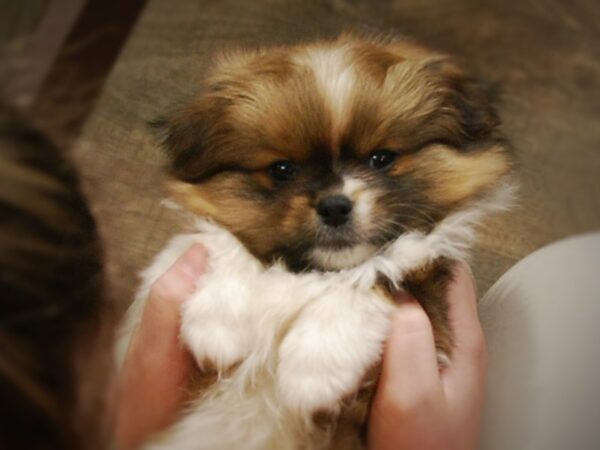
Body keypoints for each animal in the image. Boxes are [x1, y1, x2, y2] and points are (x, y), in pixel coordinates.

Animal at [118, 33, 516, 448]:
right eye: (282, 170)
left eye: (381, 158)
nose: (335, 206)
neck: (308, 273)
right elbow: (218, 242)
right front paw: (216, 323)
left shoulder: (431, 308)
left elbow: (379, 274)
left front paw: (314, 366)